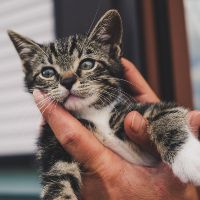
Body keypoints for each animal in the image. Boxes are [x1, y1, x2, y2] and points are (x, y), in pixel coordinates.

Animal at [7, 9, 200, 200]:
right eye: (47, 73)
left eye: (87, 64)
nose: (67, 81)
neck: (94, 114)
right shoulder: (51, 142)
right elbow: (57, 180)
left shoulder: (137, 112)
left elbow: (166, 115)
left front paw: (189, 159)